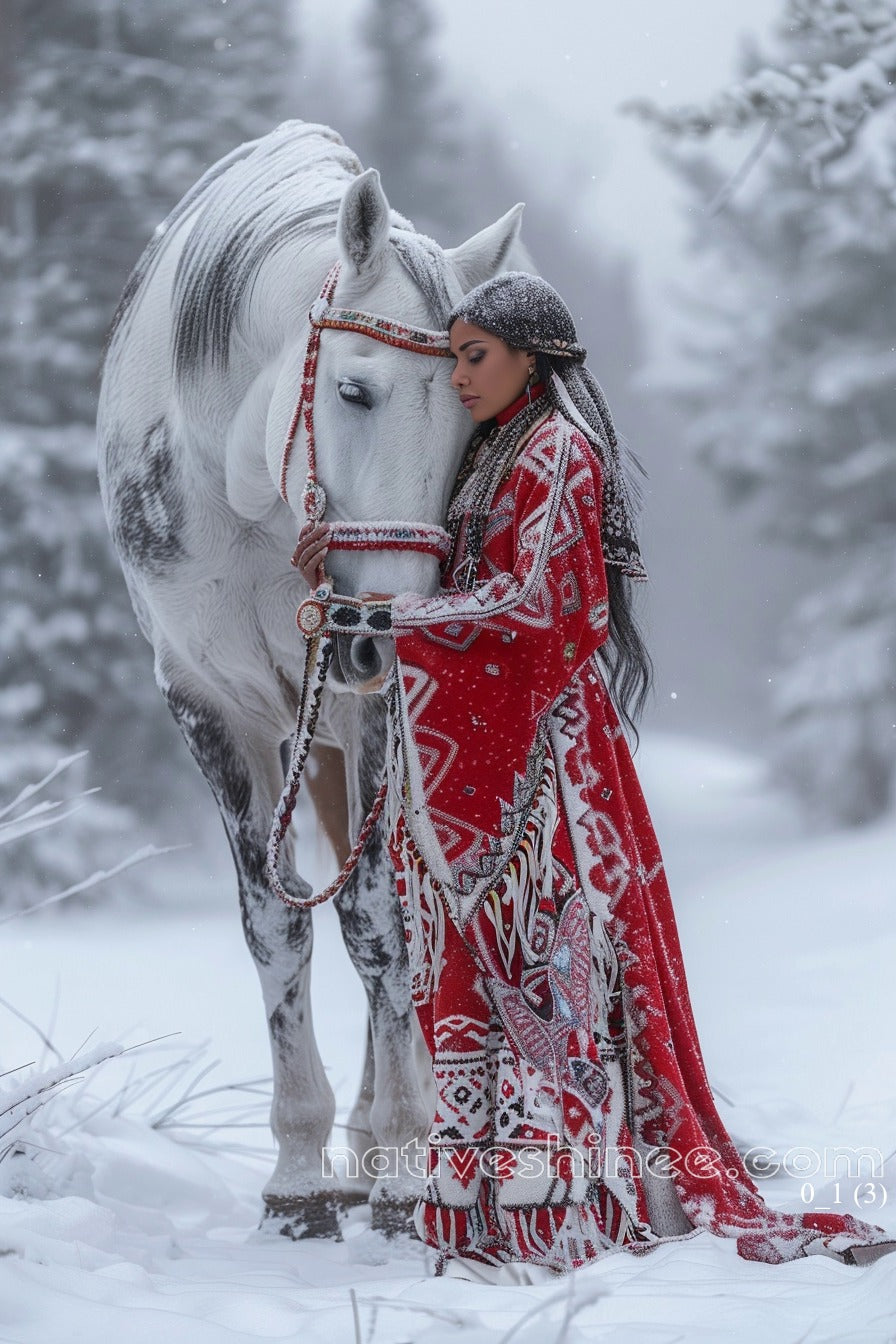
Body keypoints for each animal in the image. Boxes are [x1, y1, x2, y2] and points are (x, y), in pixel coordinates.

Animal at [100, 123, 526, 1236]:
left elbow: (380, 924)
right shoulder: (210, 707)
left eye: (471, 416)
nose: (383, 626)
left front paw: (409, 1162)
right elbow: (275, 927)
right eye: (353, 390)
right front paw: (298, 1176)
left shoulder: (372, 711)